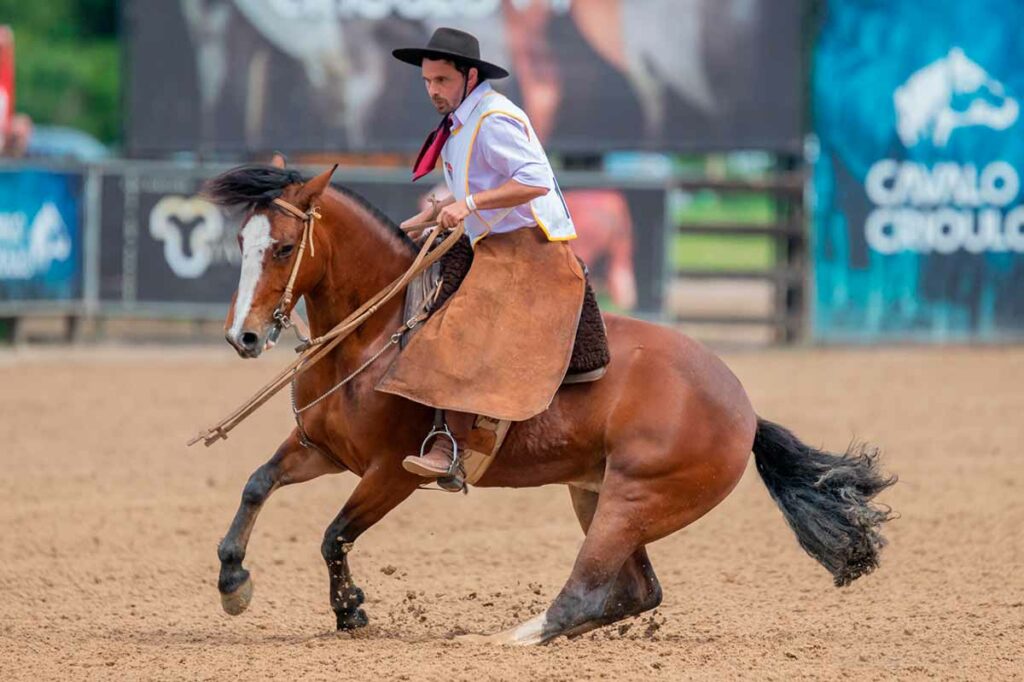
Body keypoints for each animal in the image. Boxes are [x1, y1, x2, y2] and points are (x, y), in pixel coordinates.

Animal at [203, 164, 892, 643]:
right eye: (240, 241)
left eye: (284, 247)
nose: (243, 336)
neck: (374, 336)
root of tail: (744, 411)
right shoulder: (319, 447)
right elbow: (257, 484)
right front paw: (234, 581)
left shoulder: (391, 473)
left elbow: (334, 534)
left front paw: (350, 610)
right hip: (596, 493)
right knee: (636, 592)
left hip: (633, 500)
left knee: (587, 591)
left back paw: (505, 639)